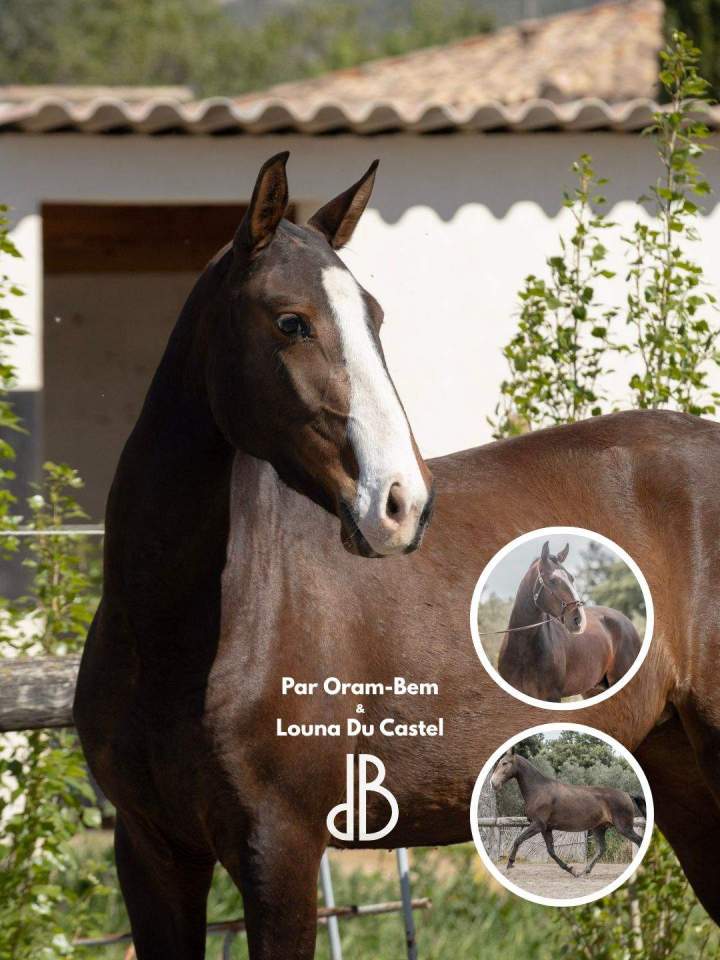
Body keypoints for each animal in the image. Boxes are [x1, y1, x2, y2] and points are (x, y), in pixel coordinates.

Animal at [491, 751, 645, 877]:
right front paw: (571, 870)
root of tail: (627, 794)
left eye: (505, 763)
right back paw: (584, 872)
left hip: (623, 827)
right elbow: (551, 851)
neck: (538, 790)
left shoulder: (537, 825)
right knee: (601, 849)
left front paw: (510, 864)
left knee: (639, 841)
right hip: (599, 828)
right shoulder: (546, 828)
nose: (493, 783)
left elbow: (518, 840)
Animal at [497, 541, 642, 701]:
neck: (522, 650)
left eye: (572, 578)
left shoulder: (552, 697)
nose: (578, 620)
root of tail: (627, 622)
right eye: (552, 580)